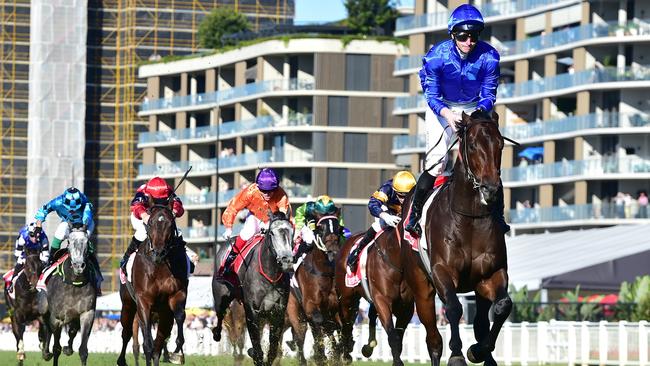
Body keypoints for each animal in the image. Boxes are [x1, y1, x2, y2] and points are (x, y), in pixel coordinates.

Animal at [116, 204, 189, 364]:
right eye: (150, 224)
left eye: (170, 224)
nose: (159, 252)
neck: (160, 265)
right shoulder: (144, 300)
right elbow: (147, 344)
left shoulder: (177, 294)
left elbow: (180, 316)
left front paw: (177, 351)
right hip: (128, 304)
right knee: (127, 333)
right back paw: (121, 360)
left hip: (163, 312)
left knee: (159, 343)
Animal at [211, 210, 292, 366]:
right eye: (272, 233)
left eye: (291, 231)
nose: (287, 260)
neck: (270, 274)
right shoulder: (252, 311)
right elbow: (257, 347)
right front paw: (254, 353)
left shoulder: (277, 313)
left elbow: (272, 350)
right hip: (221, 297)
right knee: (220, 314)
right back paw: (217, 333)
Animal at [284, 213, 342, 364]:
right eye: (320, 229)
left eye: (339, 228)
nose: (333, 253)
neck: (324, 271)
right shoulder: (311, 305)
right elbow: (320, 324)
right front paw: (320, 354)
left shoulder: (335, 307)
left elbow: (337, 326)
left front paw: (338, 354)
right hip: (294, 310)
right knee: (300, 336)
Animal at [334, 227, 416, 364]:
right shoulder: (381, 299)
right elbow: (392, 334)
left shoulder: (406, 307)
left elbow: (398, 337)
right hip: (347, 299)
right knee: (346, 325)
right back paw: (345, 354)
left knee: (370, 315)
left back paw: (368, 346)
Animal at [400, 111, 512, 366]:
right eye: (472, 145)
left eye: (500, 145)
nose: (491, 189)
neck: (469, 218)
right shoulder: (442, 271)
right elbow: (453, 308)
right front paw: (458, 354)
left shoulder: (491, 274)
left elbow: (502, 307)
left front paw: (478, 351)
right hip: (421, 288)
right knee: (433, 339)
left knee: (481, 322)